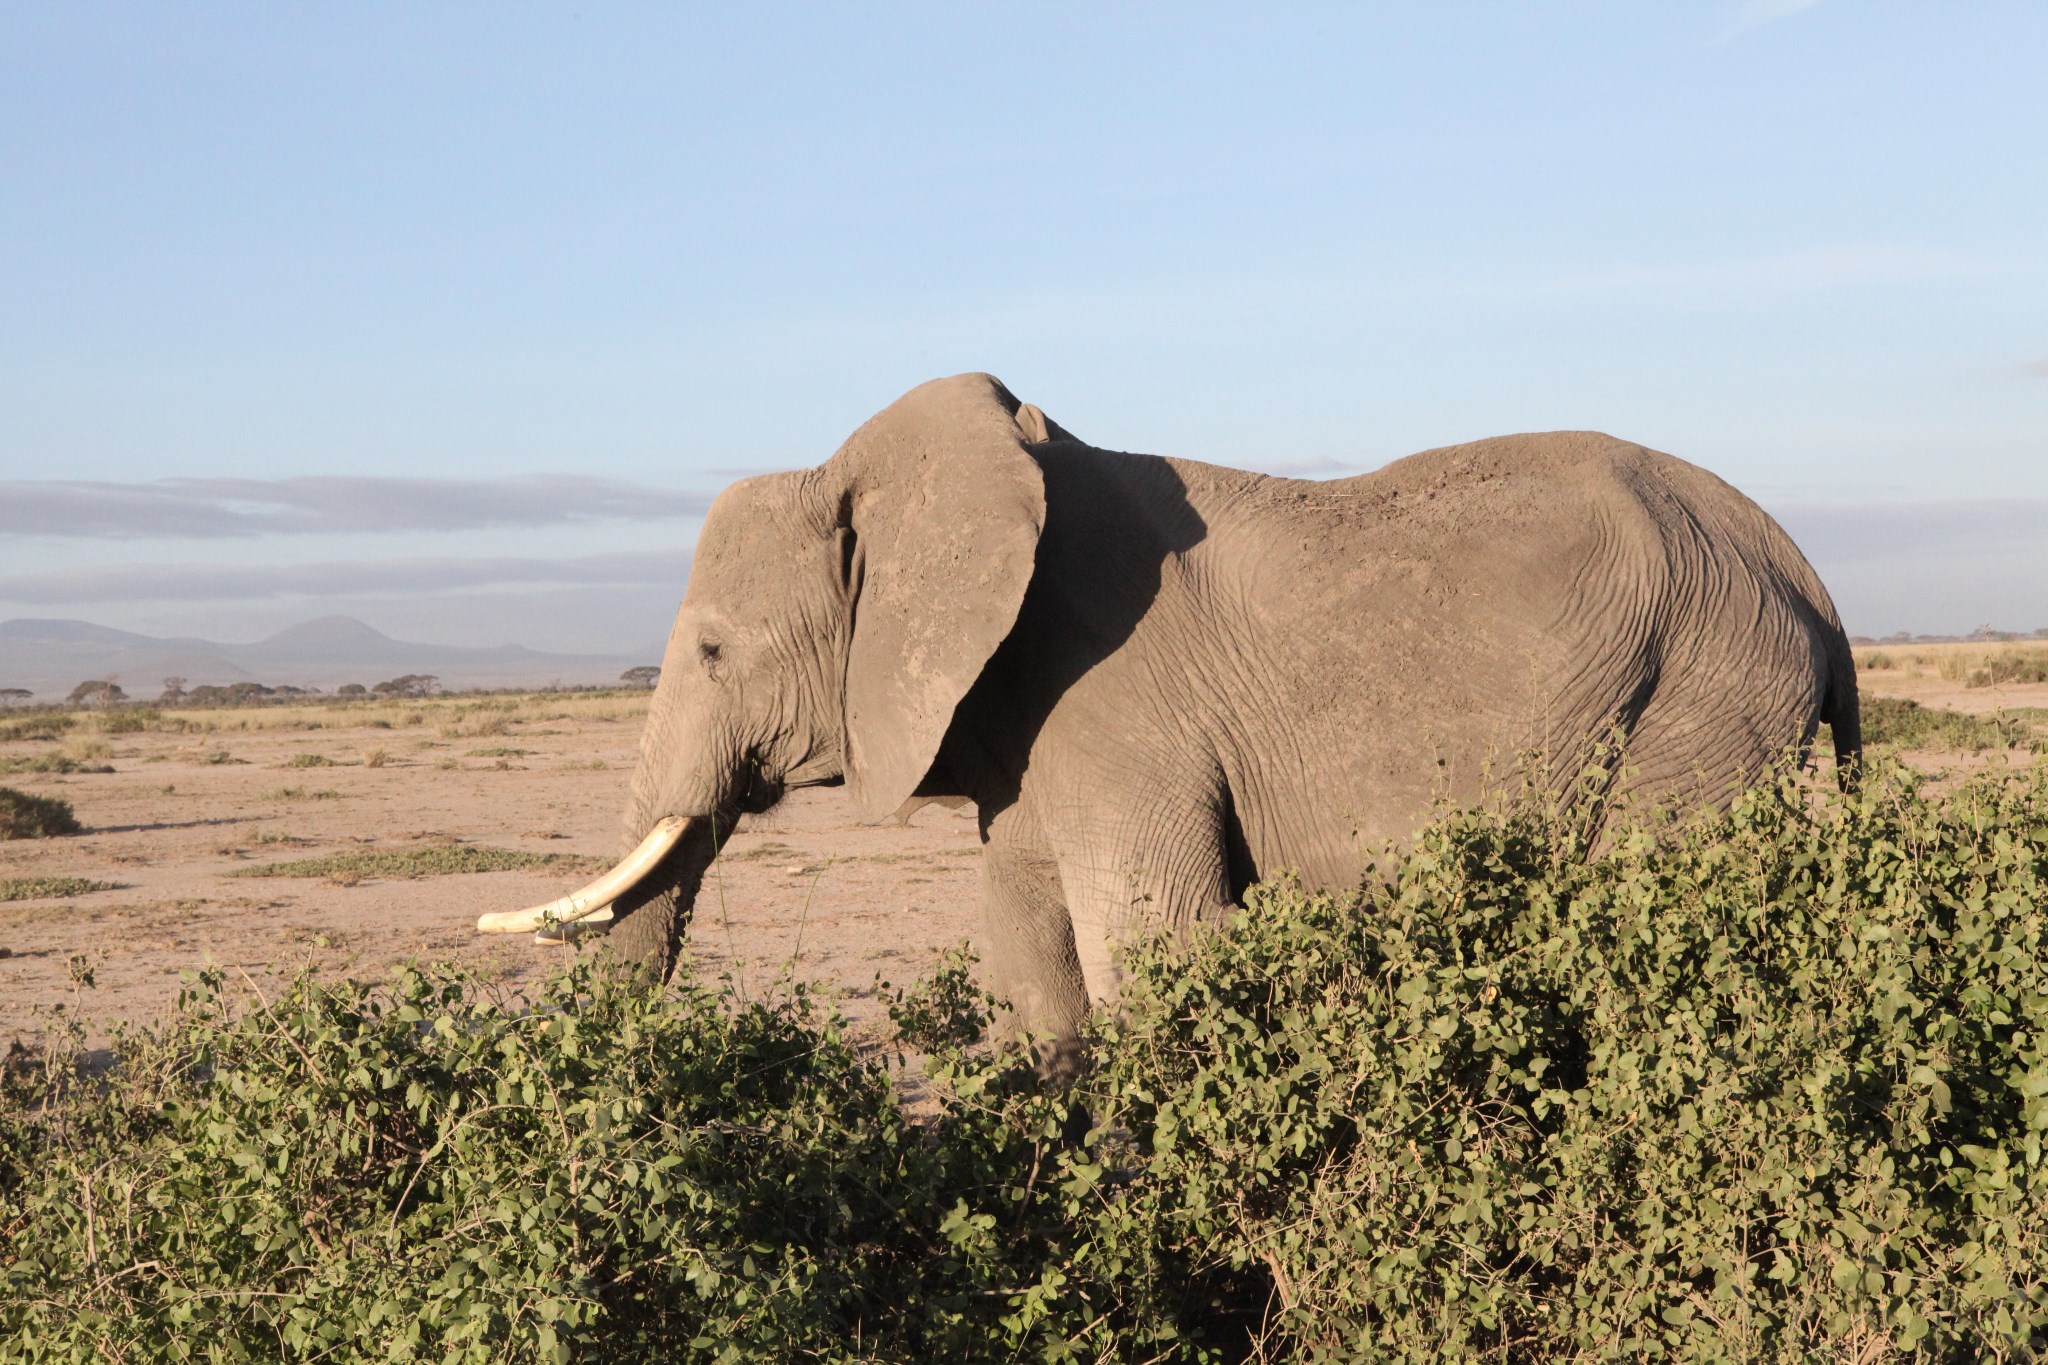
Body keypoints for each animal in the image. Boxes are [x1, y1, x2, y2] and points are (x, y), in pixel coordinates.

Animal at [479, 370, 1859, 1055]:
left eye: (714, 650)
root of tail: (1804, 571)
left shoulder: (1113, 699)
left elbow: (1155, 948)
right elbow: (1028, 959)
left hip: (1698, 694)